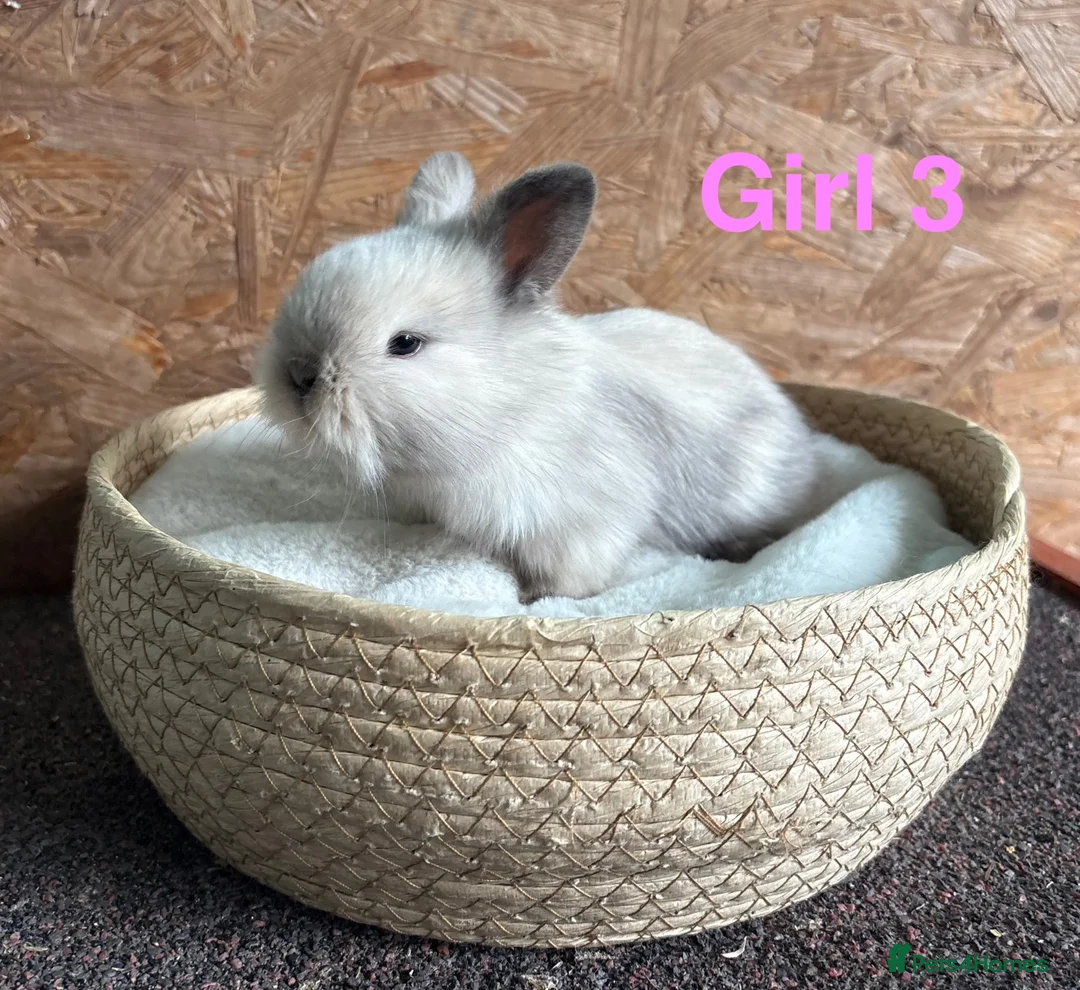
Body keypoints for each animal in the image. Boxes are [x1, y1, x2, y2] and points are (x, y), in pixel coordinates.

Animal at [256, 151, 824, 603]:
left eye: (406, 344)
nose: (299, 376)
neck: (506, 407)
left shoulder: (582, 526)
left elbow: (569, 580)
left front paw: (534, 599)